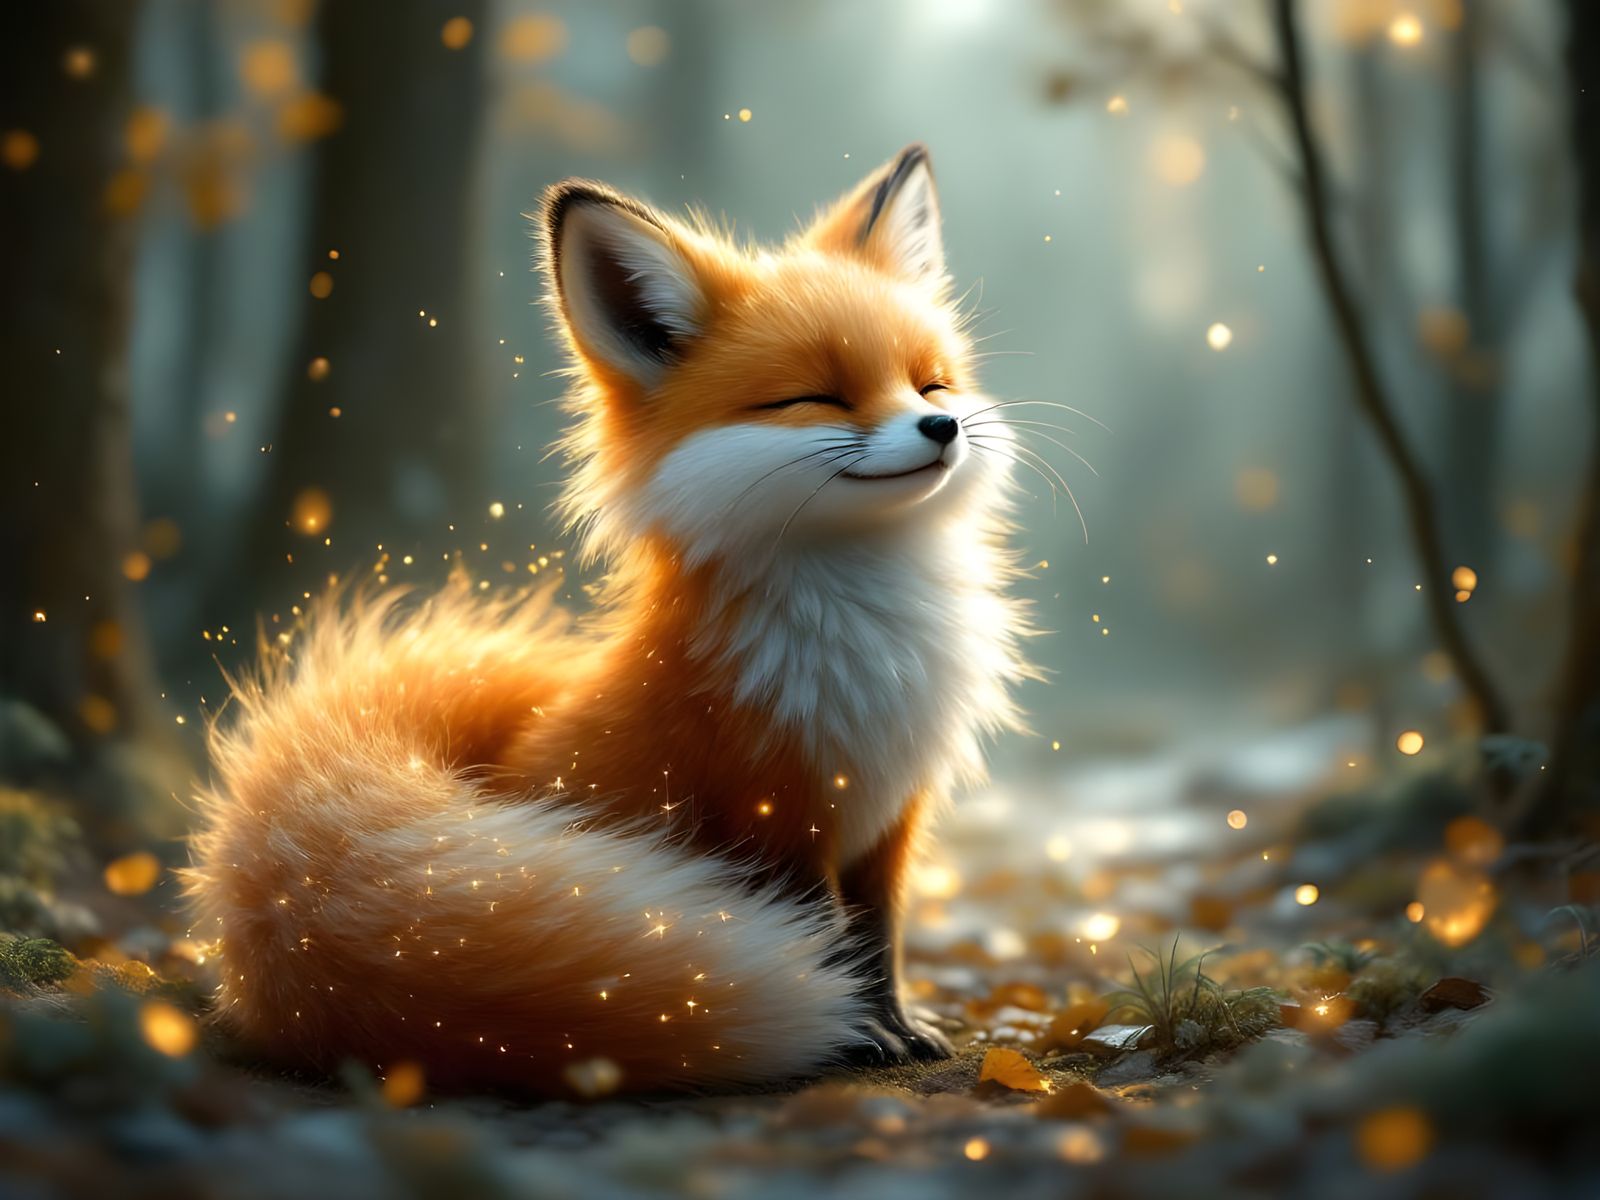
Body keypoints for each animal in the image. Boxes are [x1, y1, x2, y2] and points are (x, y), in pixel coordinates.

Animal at [186, 144, 1032, 1096]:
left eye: (932, 381)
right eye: (814, 398)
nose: (944, 425)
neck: (873, 637)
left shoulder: (891, 820)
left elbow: (879, 942)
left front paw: (901, 1025)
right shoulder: (776, 812)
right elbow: (829, 938)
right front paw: (854, 1034)